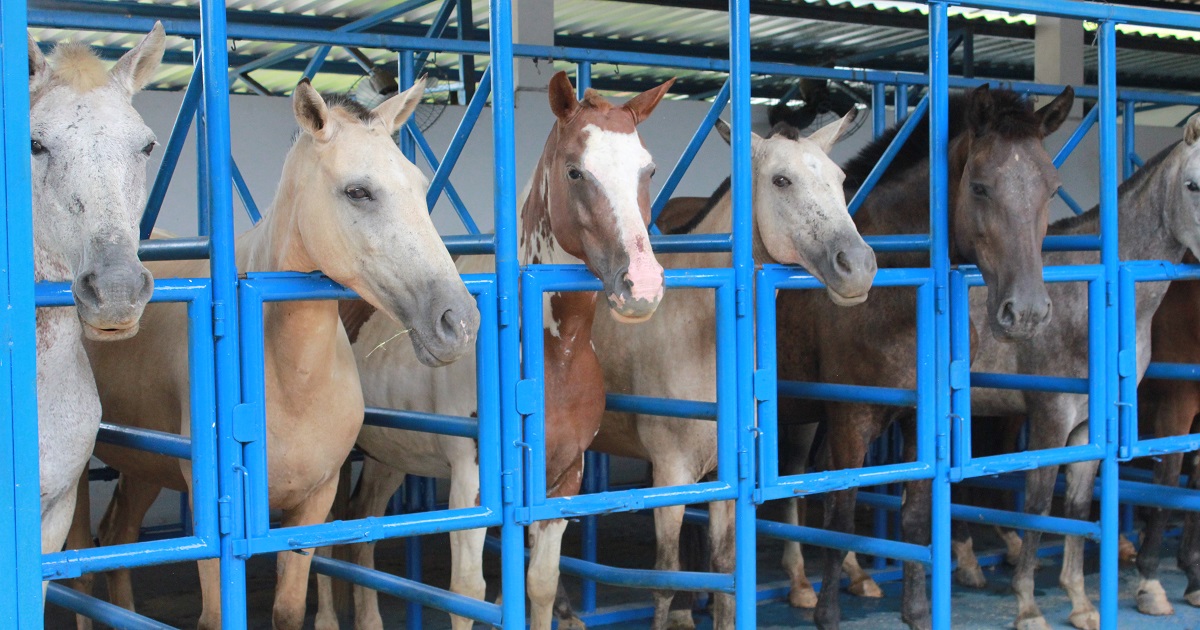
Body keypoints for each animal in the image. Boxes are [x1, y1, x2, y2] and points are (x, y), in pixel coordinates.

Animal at [72, 78, 477, 628]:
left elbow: (288, 609)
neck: (291, 376)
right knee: (81, 570)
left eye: (418, 186)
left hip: (143, 466)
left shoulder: (313, 502)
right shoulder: (217, 524)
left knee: (117, 537)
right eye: (358, 191)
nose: (459, 321)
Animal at [588, 112, 878, 628]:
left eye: (841, 178)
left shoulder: (724, 474)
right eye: (781, 180)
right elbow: (666, 578)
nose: (858, 266)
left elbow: (725, 567)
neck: (700, 327)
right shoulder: (671, 474)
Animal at [777, 85, 1080, 628]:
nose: (1026, 312)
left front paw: (917, 610)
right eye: (979, 187)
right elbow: (841, 513)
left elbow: (916, 517)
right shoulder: (850, 417)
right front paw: (829, 615)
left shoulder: (920, 418)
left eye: (1051, 188)